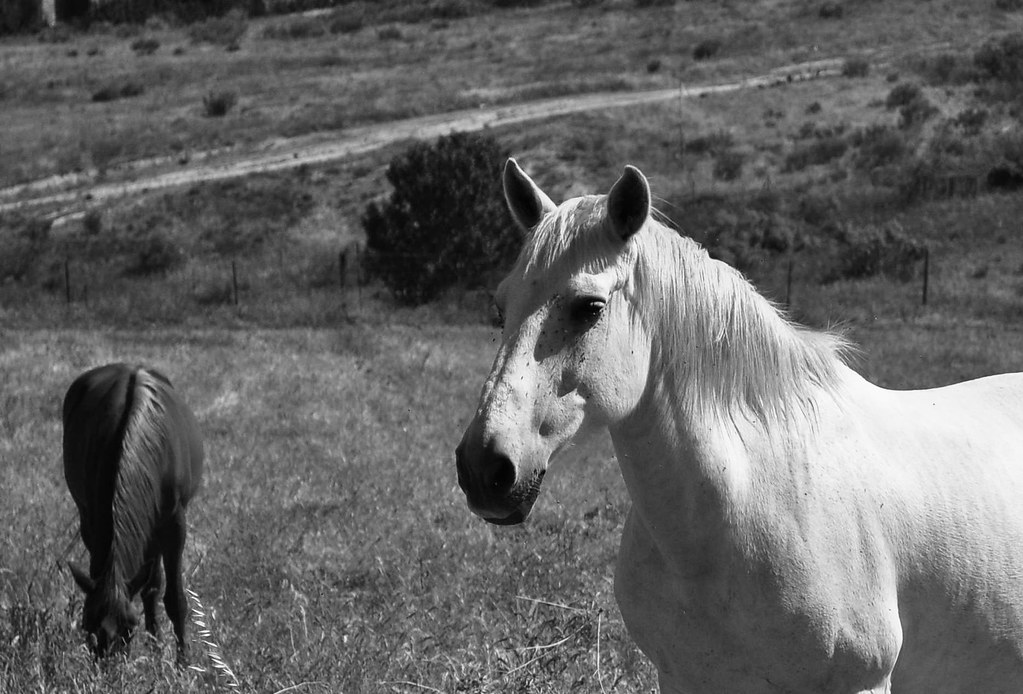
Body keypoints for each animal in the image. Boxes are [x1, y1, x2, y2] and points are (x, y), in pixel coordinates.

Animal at [63, 362, 204, 662]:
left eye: (129, 626)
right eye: (87, 624)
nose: (107, 665)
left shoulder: (174, 524)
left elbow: (174, 598)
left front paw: (183, 663)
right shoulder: (94, 520)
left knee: (152, 586)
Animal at [455, 159, 1023, 693]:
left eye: (588, 307)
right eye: (500, 308)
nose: (483, 469)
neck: (745, 500)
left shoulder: (862, 680)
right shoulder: (684, 680)